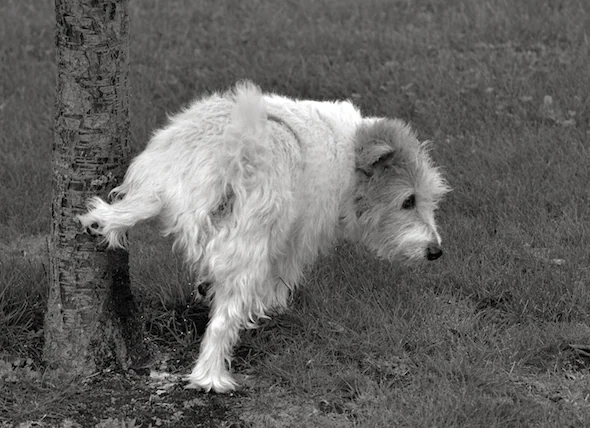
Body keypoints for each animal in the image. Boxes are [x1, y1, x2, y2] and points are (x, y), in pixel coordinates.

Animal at [77, 80, 448, 392]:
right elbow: (280, 277)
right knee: (222, 324)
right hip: (249, 248)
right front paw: (271, 304)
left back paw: (98, 222)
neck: (347, 155)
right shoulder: (296, 237)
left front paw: (208, 288)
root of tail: (228, 153)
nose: (435, 252)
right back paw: (211, 377)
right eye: (408, 201)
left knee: (128, 210)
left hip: (158, 186)